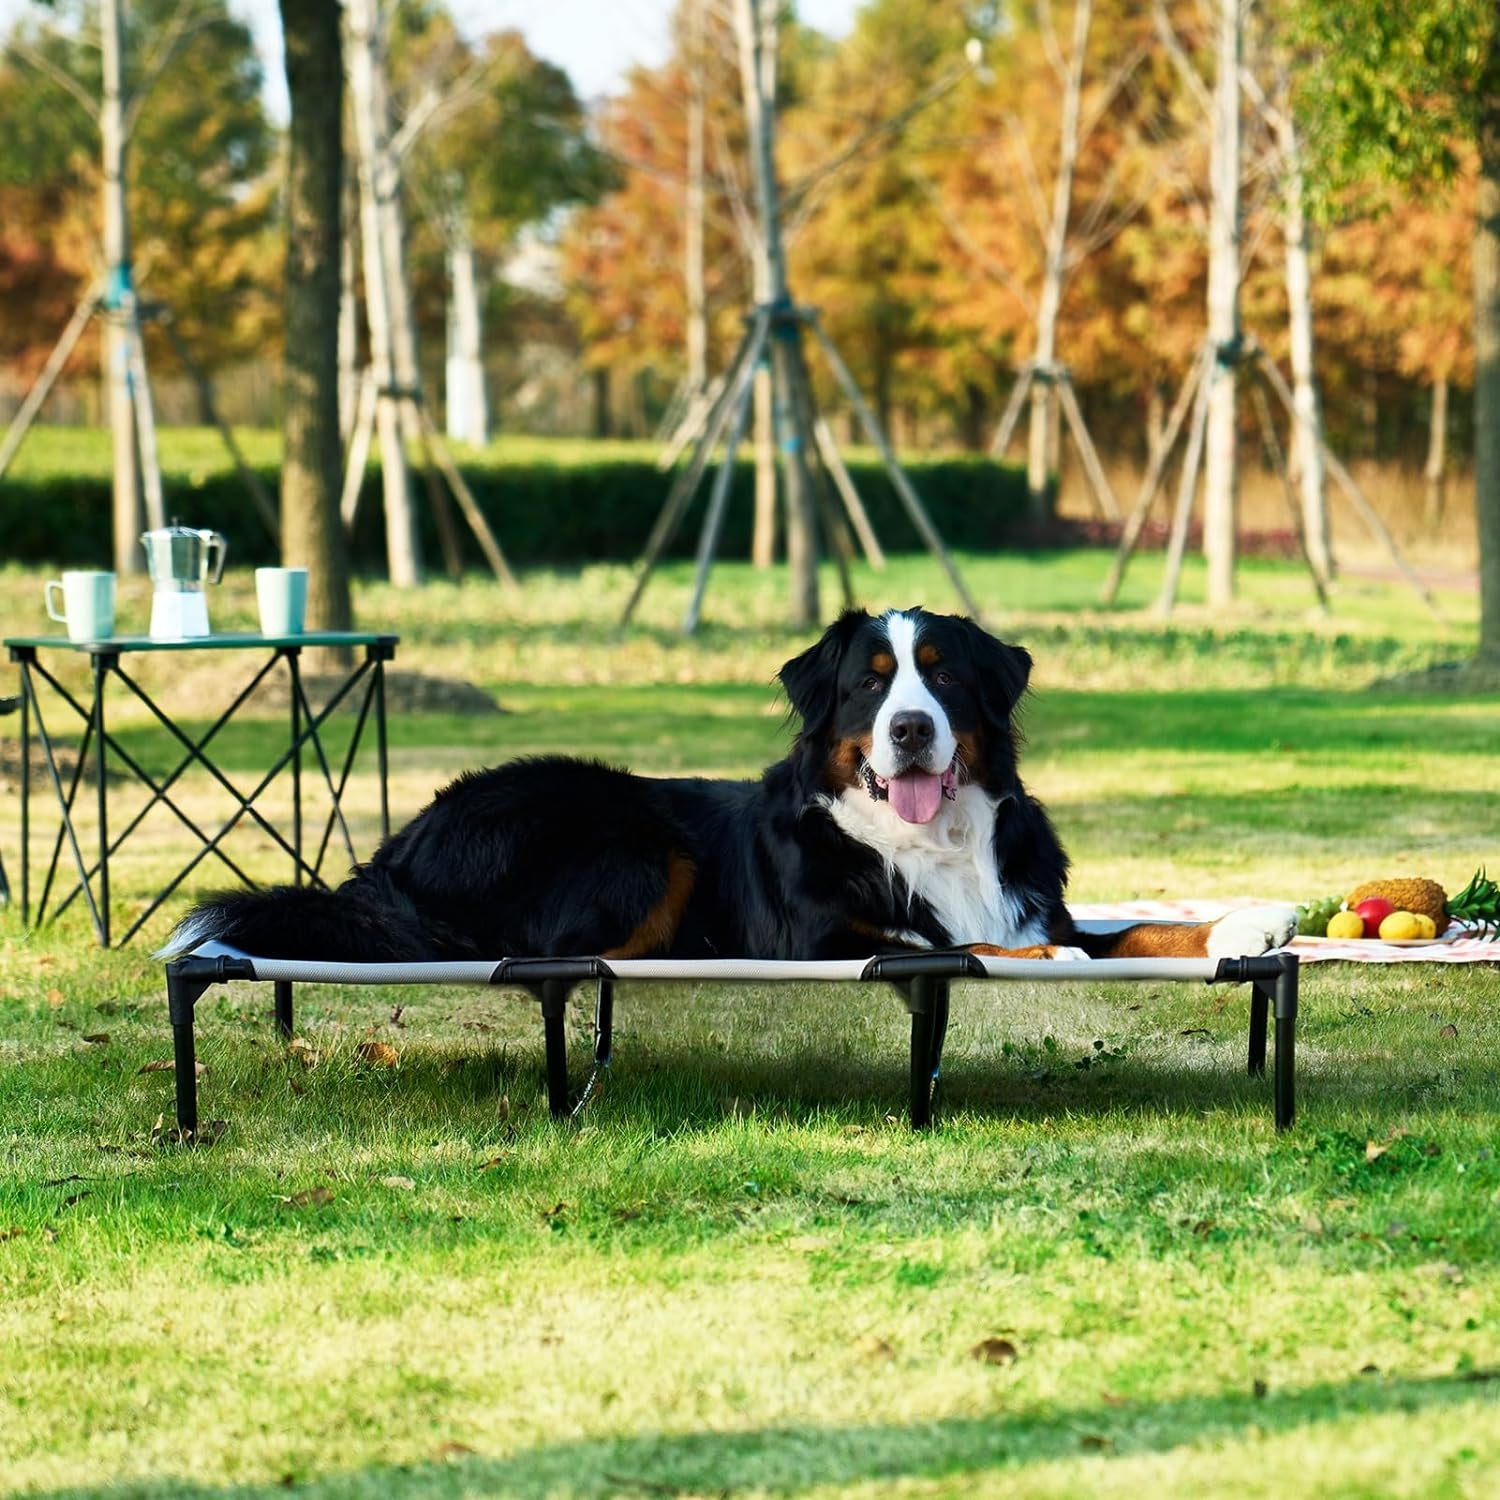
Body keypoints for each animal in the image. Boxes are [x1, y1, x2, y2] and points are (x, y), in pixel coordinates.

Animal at [161, 606, 1290, 966]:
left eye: (944, 678)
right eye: (869, 684)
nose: (911, 730)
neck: (935, 846)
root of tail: (391, 856)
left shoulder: (1027, 894)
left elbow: (1143, 928)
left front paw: (1248, 920)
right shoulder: (822, 941)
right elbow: (954, 941)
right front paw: (1046, 958)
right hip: (633, 838)